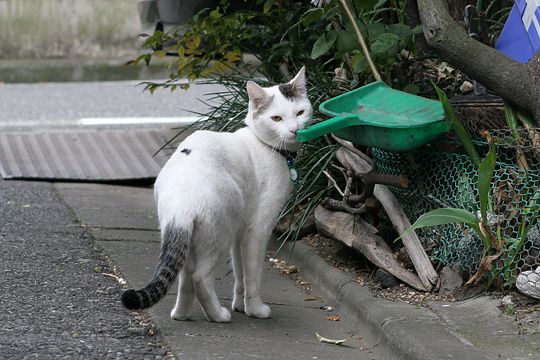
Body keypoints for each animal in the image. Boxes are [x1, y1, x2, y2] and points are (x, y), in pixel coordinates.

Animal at [122, 67, 312, 324]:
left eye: (300, 112)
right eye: (276, 119)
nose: (295, 129)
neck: (266, 146)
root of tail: (182, 203)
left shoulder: (240, 230)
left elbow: (240, 273)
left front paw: (240, 304)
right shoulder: (257, 229)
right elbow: (253, 275)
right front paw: (255, 309)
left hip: (197, 236)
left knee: (185, 274)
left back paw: (182, 313)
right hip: (220, 233)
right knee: (200, 276)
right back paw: (218, 315)